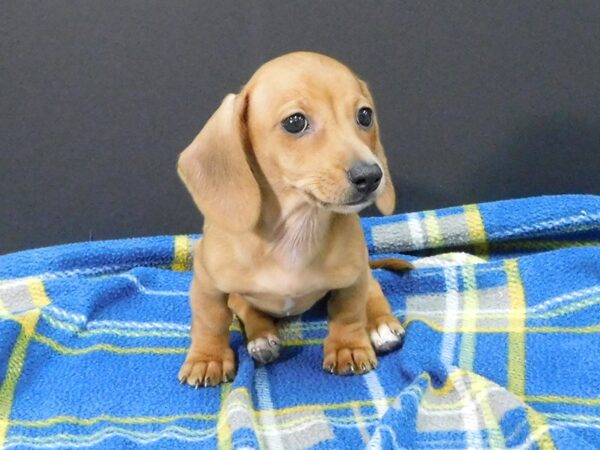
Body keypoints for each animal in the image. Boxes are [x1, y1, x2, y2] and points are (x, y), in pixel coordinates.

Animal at [177, 50, 412, 386]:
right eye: (295, 121)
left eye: (365, 116)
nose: (370, 176)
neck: (297, 228)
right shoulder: (208, 285)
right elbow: (210, 322)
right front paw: (208, 358)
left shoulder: (353, 277)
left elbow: (349, 312)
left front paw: (348, 347)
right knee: (245, 309)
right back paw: (261, 338)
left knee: (374, 289)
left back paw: (381, 325)